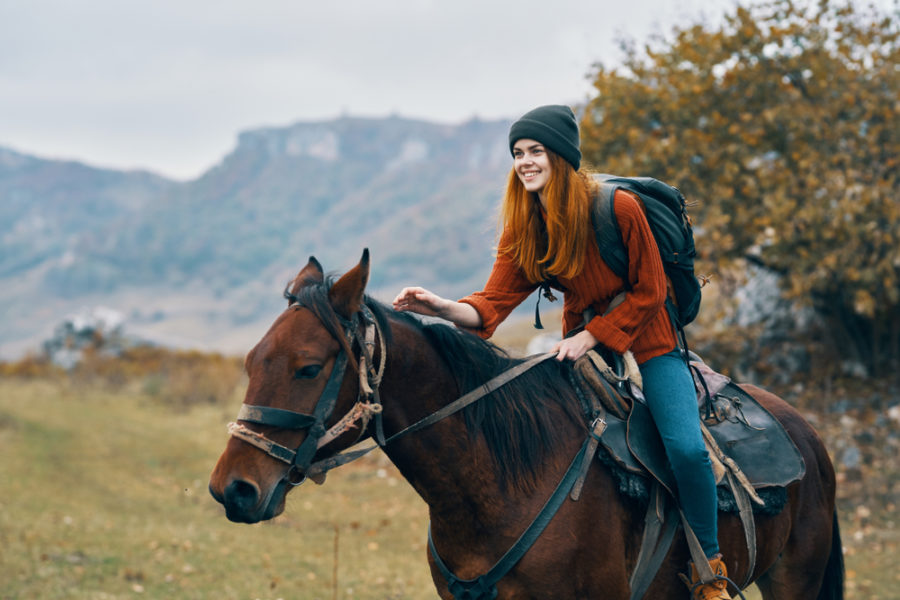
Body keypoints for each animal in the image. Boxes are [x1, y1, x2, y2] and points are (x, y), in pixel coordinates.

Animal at [209, 251, 844, 600]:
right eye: (251, 362)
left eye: (308, 367)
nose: (231, 489)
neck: (499, 487)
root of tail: (807, 434)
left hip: (793, 581)